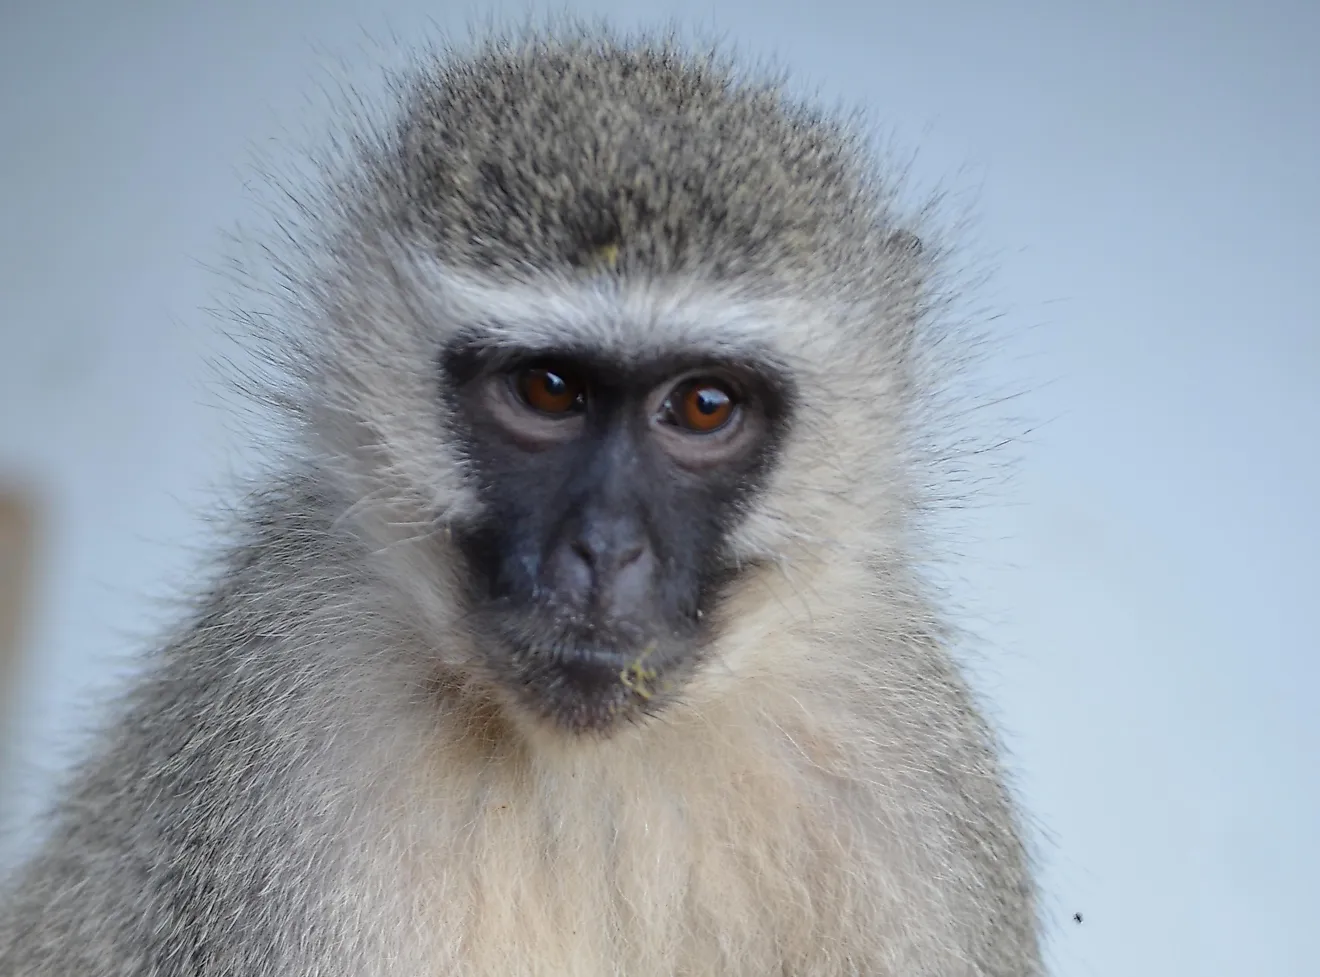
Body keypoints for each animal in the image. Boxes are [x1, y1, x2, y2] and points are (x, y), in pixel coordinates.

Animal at [0, 22, 1040, 977]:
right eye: (548, 389)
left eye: (703, 406)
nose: (605, 552)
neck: (593, 769)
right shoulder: (281, 749)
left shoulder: (902, 781)